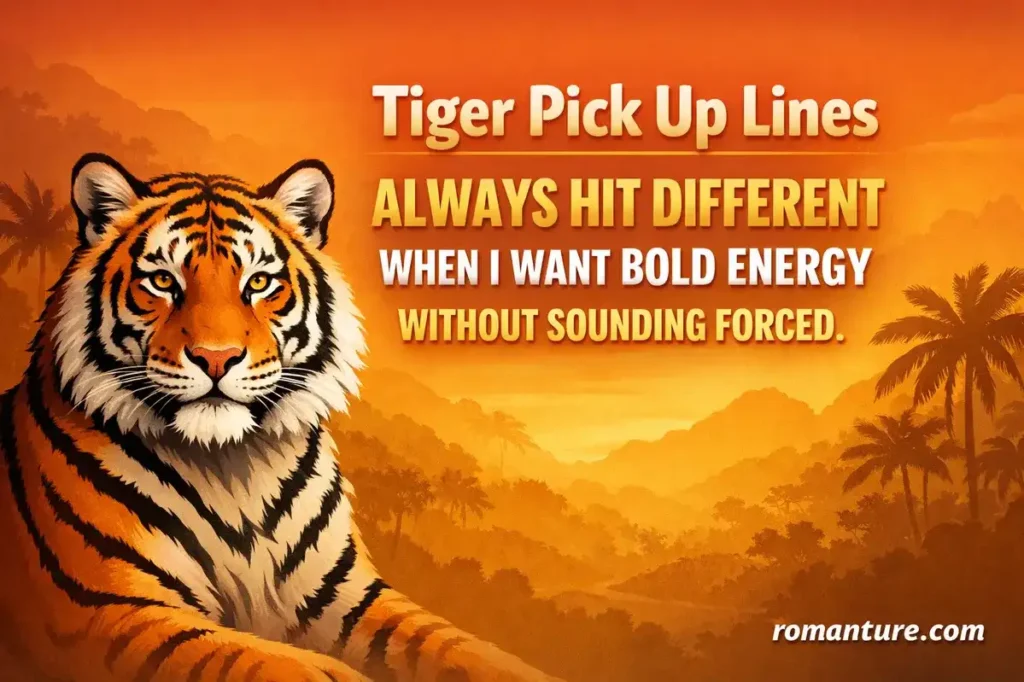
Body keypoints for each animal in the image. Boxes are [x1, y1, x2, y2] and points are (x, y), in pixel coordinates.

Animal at [0, 153, 560, 682]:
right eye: (162, 281)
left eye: (260, 282)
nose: (217, 358)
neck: (232, 469)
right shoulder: (108, 605)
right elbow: (265, 661)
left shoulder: (344, 594)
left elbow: (457, 647)